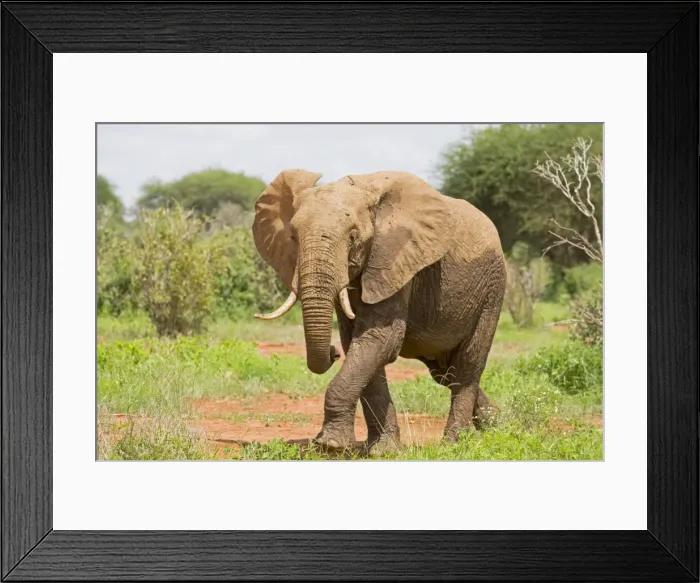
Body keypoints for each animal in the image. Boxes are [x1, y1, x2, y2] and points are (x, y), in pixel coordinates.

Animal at [252, 169, 507, 454]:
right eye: (294, 238)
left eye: (353, 238)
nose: (332, 352)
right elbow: (359, 345)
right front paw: (382, 451)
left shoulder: (394, 260)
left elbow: (380, 340)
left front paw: (330, 446)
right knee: (444, 372)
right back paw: (499, 425)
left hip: (491, 289)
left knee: (467, 364)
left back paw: (454, 442)